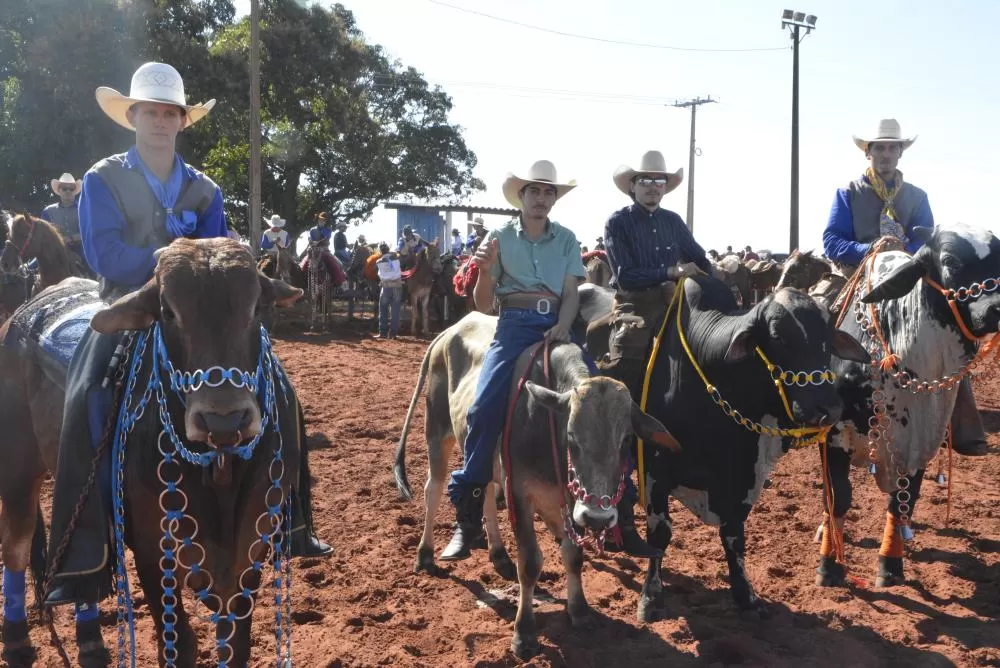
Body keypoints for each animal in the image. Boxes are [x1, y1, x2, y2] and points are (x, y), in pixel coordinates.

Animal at [393, 312, 678, 658]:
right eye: (571, 436)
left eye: (626, 440)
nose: (597, 517)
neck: (545, 424)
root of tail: (449, 331)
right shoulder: (520, 492)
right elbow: (530, 562)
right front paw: (524, 633)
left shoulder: (568, 501)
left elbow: (573, 555)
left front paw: (579, 610)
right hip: (437, 431)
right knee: (433, 490)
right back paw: (426, 555)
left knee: (484, 493)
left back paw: (499, 554)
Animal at [819, 223, 1000, 589]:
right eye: (950, 261)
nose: (998, 309)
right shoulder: (834, 438)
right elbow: (838, 498)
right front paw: (829, 565)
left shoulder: (921, 441)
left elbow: (902, 503)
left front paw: (890, 563)